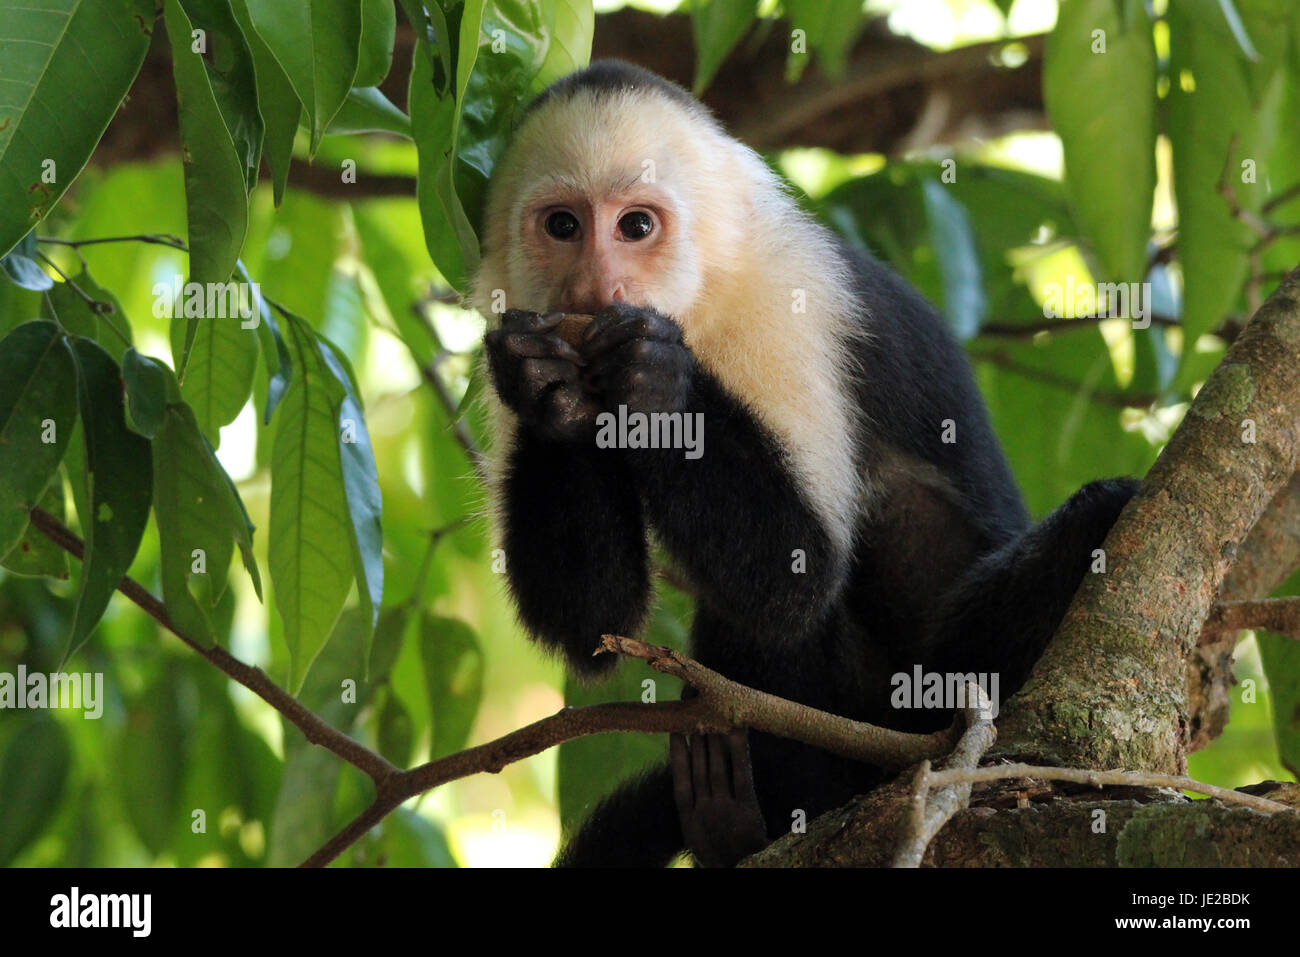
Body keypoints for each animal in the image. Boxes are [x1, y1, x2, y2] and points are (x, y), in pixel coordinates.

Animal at [473, 59, 1133, 868]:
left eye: (636, 226)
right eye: (563, 225)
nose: (597, 288)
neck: (697, 307)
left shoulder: (790, 303)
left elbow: (795, 575)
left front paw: (653, 381)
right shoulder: (516, 317)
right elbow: (590, 624)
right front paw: (551, 390)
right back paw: (732, 822)